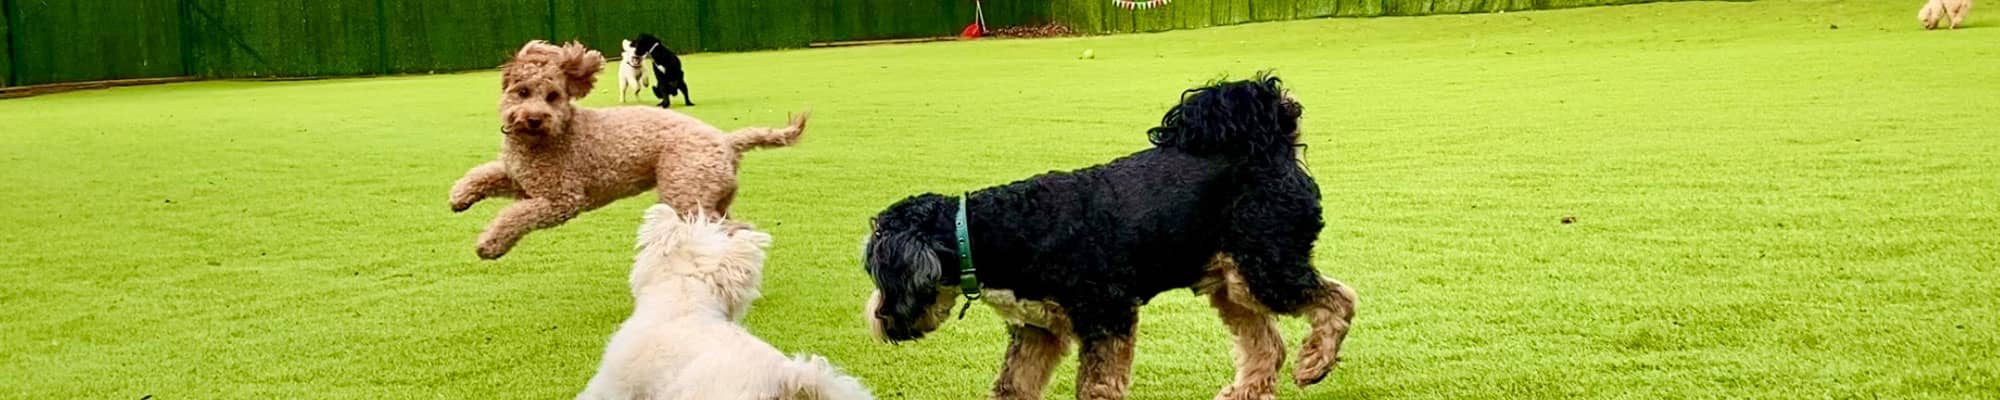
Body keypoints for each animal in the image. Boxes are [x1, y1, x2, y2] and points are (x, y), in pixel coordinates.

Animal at [452, 40, 804, 260]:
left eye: (553, 96)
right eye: (522, 92)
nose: (534, 118)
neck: (546, 137)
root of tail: (727, 140)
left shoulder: (561, 200)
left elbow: (514, 216)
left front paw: (489, 245)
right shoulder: (519, 177)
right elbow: (485, 174)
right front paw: (460, 197)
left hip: (686, 195)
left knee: (729, 231)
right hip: (711, 197)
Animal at [860, 72, 1360, 400]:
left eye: (881, 274)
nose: (879, 321)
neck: (990, 231)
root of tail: (1275, 137)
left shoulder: (1107, 317)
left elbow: (1096, 387)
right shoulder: (1037, 331)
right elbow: (1011, 386)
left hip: (1266, 268)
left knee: (1338, 300)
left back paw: (1315, 363)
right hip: (1232, 283)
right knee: (1267, 346)